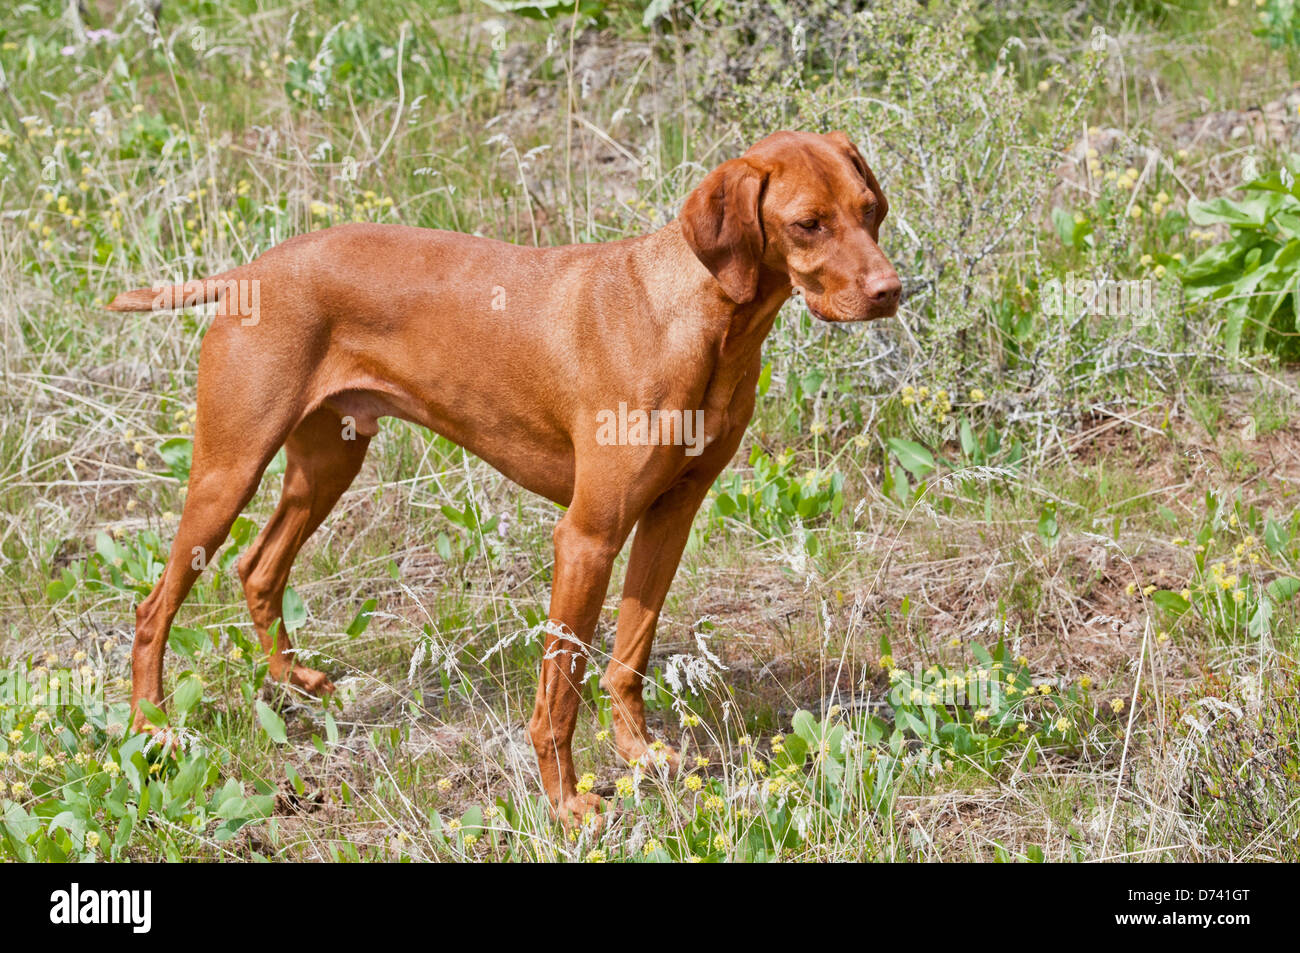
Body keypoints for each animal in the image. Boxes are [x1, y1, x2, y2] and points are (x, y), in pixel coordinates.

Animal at [106, 130, 899, 821]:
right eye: (807, 224)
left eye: (869, 209)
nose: (894, 290)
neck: (696, 322)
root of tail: (252, 271)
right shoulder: (586, 536)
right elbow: (560, 693)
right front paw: (568, 803)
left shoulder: (670, 515)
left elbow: (629, 657)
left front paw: (640, 756)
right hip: (229, 468)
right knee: (155, 606)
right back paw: (153, 728)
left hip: (328, 462)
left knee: (258, 565)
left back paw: (295, 682)